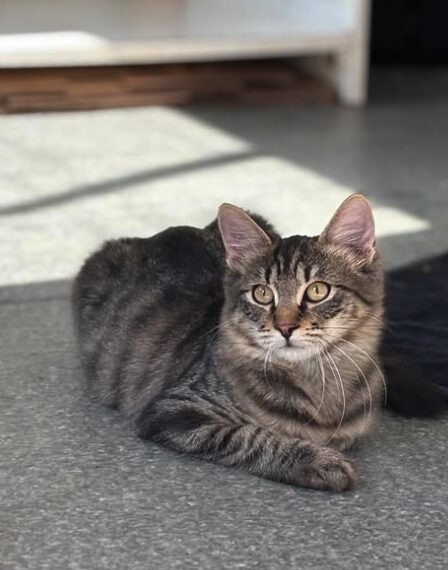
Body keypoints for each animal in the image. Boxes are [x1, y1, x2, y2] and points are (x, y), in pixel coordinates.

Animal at [73, 193, 384, 490]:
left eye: (318, 291)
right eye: (262, 294)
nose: (285, 328)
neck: (317, 379)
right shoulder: (176, 410)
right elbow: (254, 437)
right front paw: (317, 461)